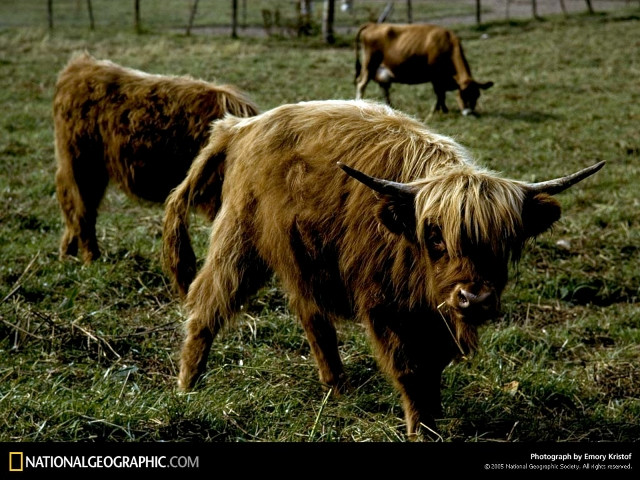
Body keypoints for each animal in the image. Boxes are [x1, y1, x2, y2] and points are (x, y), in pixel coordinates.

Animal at [51, 52, 258, 262]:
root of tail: (80, 65)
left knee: (76, 209)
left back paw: (68, 253)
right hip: (81, 164)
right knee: (81, 210)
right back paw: (90, 258)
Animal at [162, 99, 604, 436]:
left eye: (506, 239)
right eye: (435, 236)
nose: (474, 298)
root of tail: (241, 126)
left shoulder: (435, 317)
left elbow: (433, 367)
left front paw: (433, 415)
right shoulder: (385, 307)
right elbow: (411, 370)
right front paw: (421, 430)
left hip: (300, 260)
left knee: (312, 317)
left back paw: (337, 387)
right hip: (238, 241)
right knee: (206, 307)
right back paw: (188, 387)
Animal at [356, 23, 496, 115]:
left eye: (476, 96)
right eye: (462, 95)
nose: (469, 112)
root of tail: (373, 25)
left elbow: (441, 94)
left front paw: (441, 109)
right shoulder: (436, 76)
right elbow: (440, 93)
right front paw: (440, 110)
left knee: (384, 87)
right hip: (369, 64)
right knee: (361, 84)